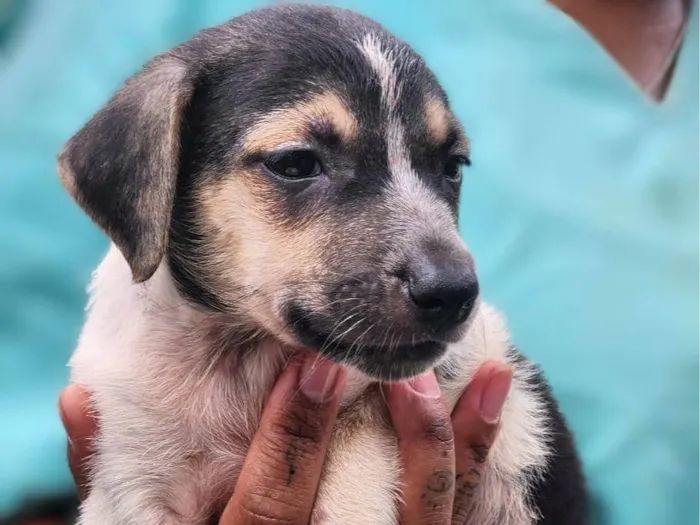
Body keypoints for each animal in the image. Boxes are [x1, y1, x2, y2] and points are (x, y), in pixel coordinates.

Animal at [58, 5, 584, 524]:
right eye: (295, 163)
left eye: (452, 167)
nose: (455, 293)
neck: (239, 357)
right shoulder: (133, 474)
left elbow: (359, 441)